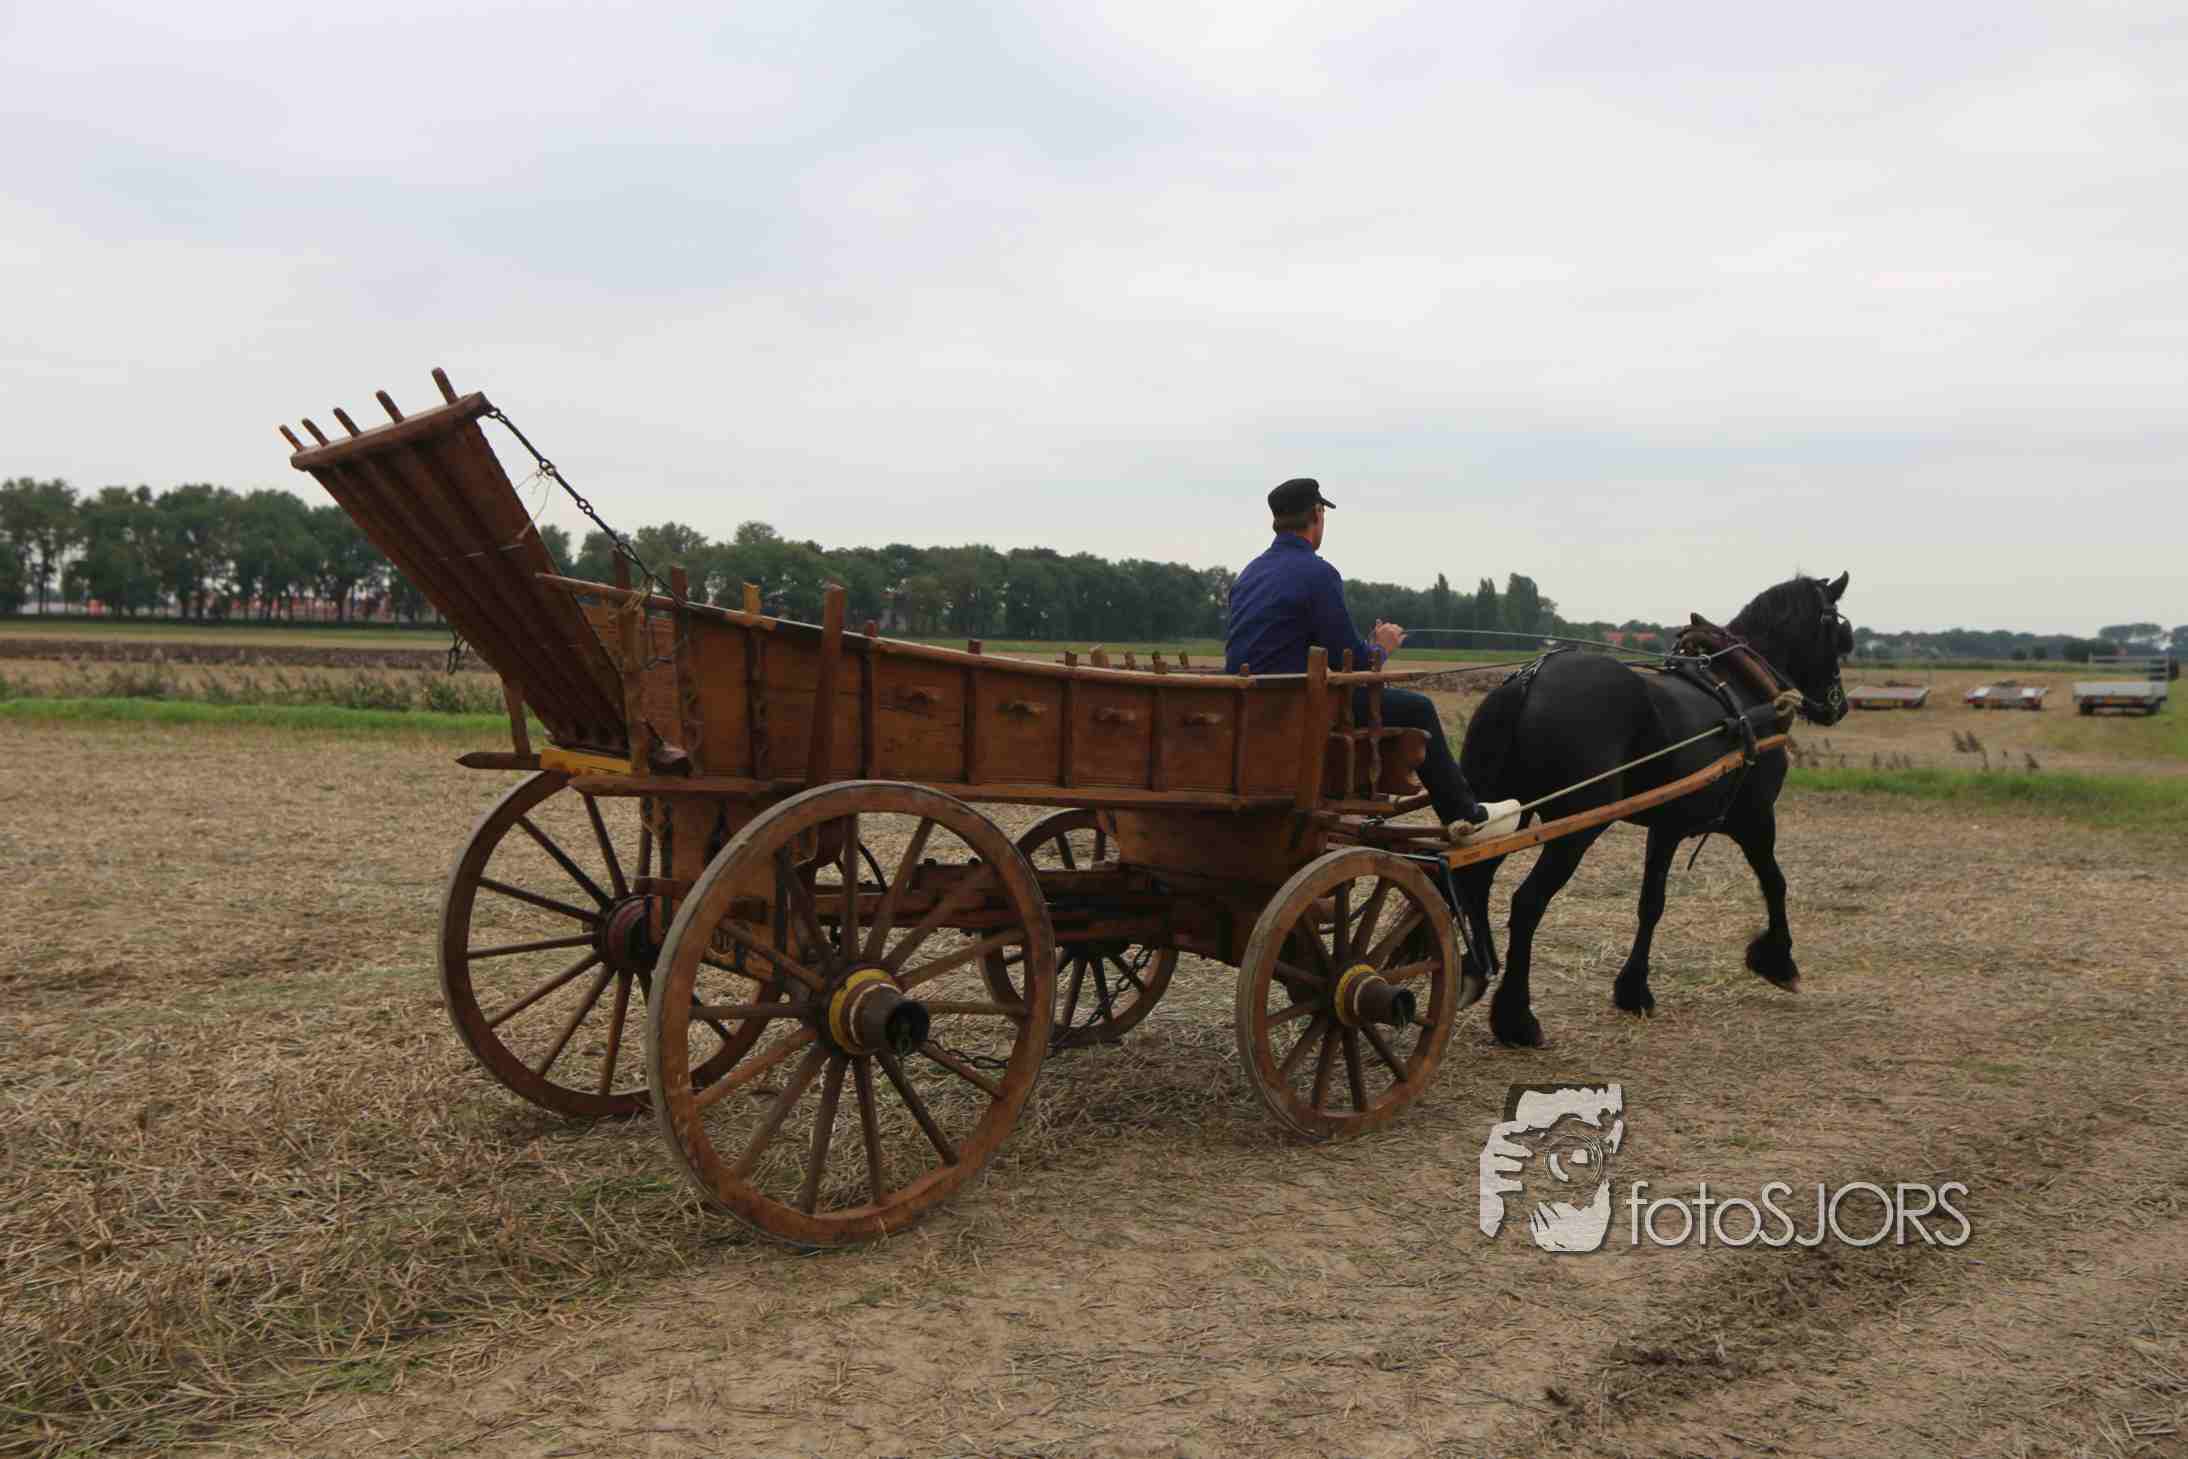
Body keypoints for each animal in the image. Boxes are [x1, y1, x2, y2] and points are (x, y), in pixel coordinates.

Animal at [1451, 572, 1854, 1048]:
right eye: (1838, 633)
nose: (1838, 704)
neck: (1745, 691)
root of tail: (1529, 680)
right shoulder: (1755, 819)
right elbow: (1775, 883)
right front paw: (1778, 960)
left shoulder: (1667, 826)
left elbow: (1651, 904)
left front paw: (1634, 989)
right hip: (1575, 829)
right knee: (1527, 902)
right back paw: (1516, 1017)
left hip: (1504, 813)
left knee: (1473, 882)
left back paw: (1476, 972)